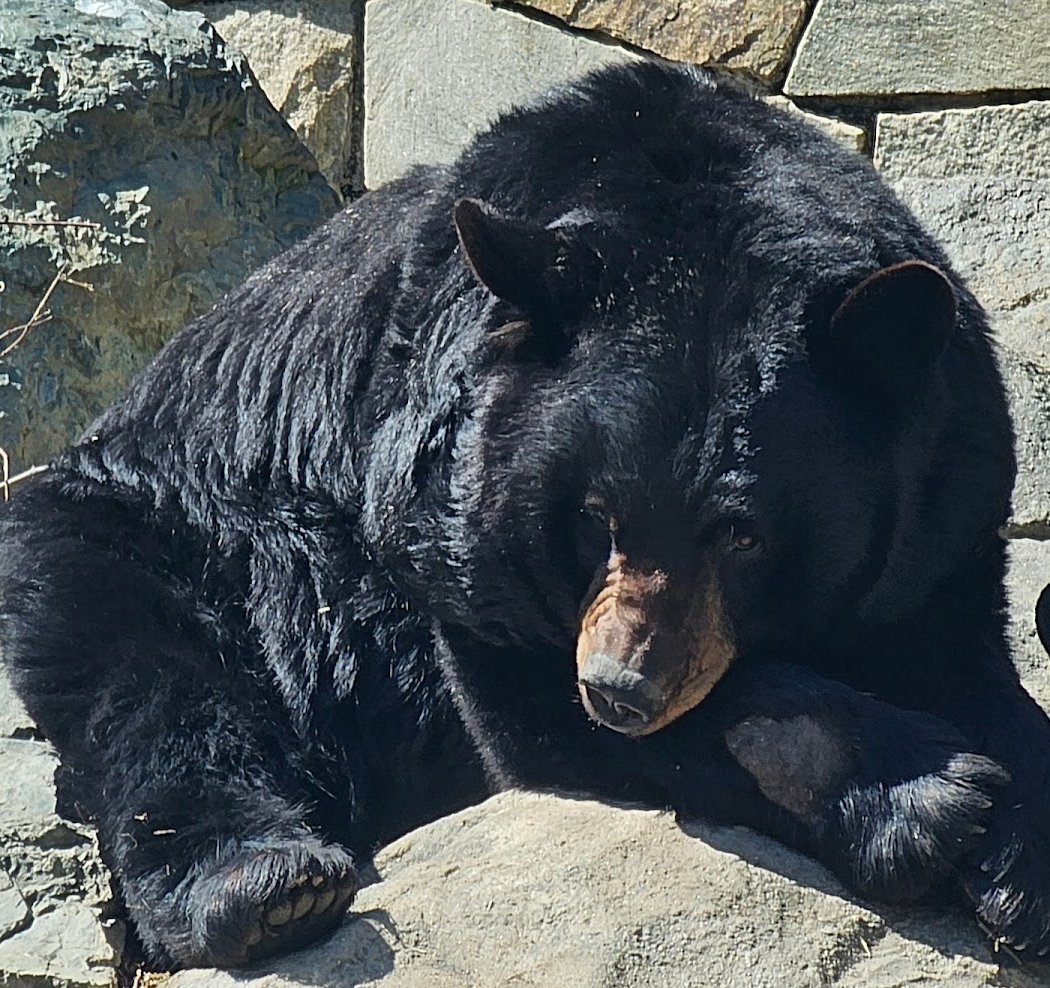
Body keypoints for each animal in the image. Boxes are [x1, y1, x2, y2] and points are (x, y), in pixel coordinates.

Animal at [2, 60, 1048, 969]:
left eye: (742, 532)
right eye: (595, 513)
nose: (623, 689)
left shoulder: (943, 500)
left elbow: (964, 658)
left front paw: (1019, 861)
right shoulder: (447, 520)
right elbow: (533, 702)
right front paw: (923, 792)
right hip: (163, 532)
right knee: (147, 676)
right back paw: (265, 884)